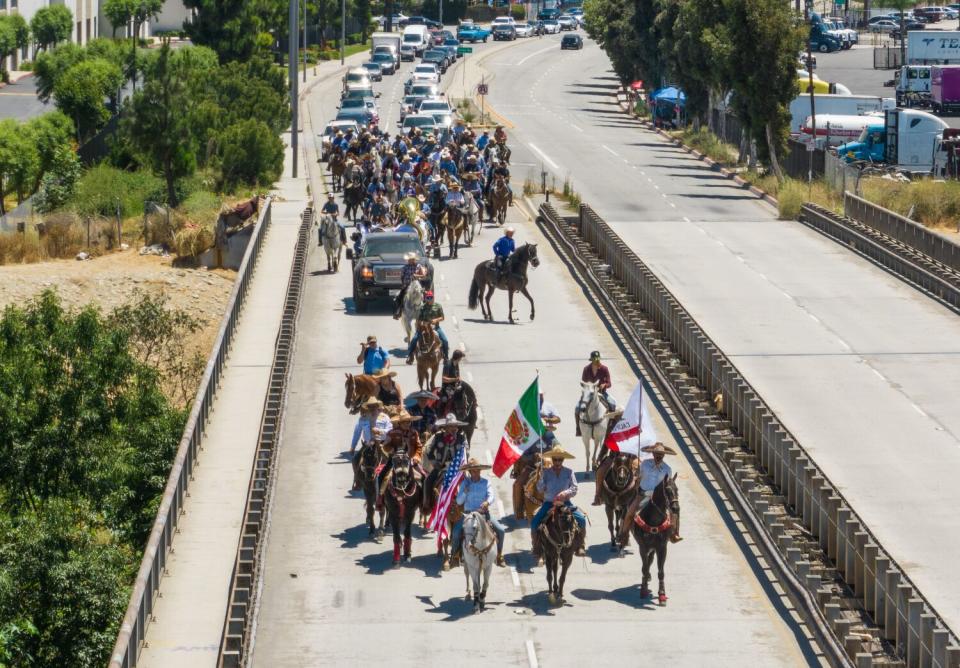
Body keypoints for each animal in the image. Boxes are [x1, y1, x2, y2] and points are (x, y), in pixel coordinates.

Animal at [632, 474, 684, 604]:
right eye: (668, 490)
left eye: (677, 490)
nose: (676, 508)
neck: (654, 521)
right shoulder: (643, 547)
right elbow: (644, 568)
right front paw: (643, 590)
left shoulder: (662, 547)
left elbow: (661, 572)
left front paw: (662, 595)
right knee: (646, 564)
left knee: (650, 561)